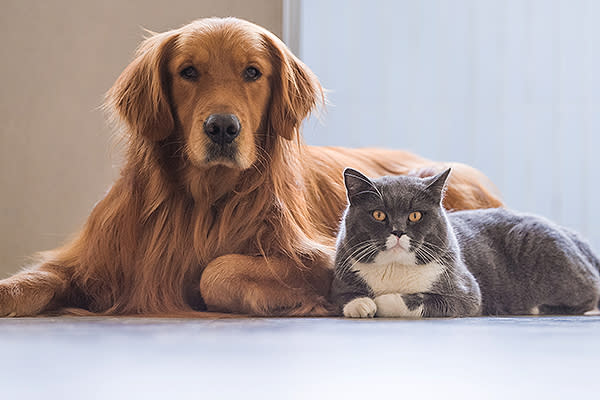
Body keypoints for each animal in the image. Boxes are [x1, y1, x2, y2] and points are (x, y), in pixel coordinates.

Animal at [0, 18, 502, 318]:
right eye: (188, 72)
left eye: (252, 72)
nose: (222, 127)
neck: (204, 200)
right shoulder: (94, 259)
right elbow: (34, 278)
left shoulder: (320, 258)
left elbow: (216, 271)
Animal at [330, 169, 600, 318]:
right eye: (378, 214)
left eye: (415, 215)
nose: (398, 231)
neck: (394, 268)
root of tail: (575, 236)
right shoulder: (341, 274)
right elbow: (342, 296)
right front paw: (360, 304)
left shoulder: (465, 292)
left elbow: (418, 300)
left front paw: (382, 301)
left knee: (588, 296)